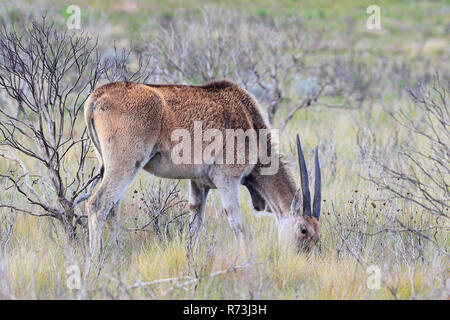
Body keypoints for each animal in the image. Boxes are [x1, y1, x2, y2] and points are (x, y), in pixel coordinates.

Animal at [84, 80, 322, 258]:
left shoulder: (199, 184)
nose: (302, 259)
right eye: (303, 230)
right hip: (125, 166)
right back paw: (94, 264)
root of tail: (98, 95)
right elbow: (237, 222)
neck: (250, 124)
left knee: (112, 208)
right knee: (98, 204)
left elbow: (194, 227)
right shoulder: (228, 180)